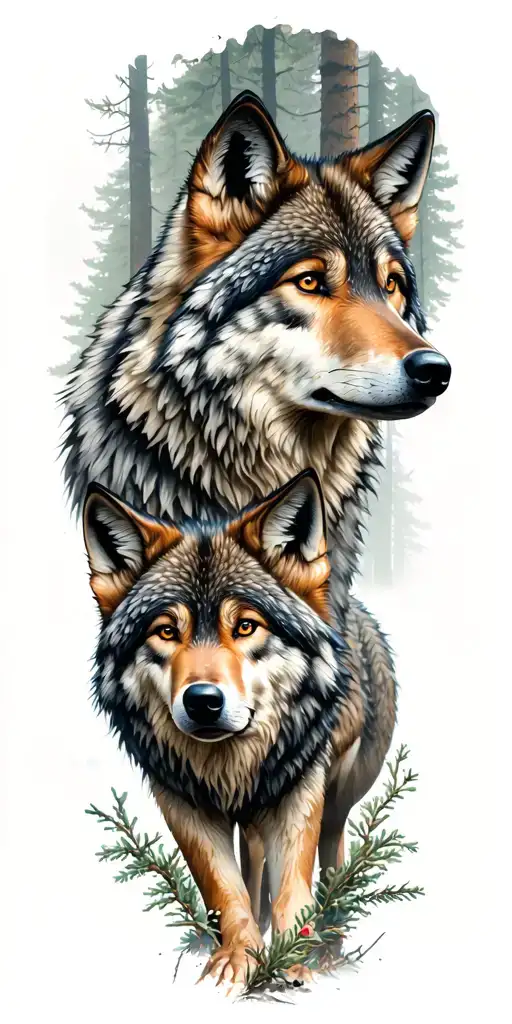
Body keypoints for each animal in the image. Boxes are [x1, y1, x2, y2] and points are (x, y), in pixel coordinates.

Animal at [83, 468, 395, 991]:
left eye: (246, 626)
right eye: (166, 632)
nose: (203, 702)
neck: (232, 765)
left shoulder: (299, 790)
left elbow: (292, 885)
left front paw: (294, 959)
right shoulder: (180, 801)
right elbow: (224, 889)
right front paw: (237, 958)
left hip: (339, 792)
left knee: (332, 849)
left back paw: (329, 944)